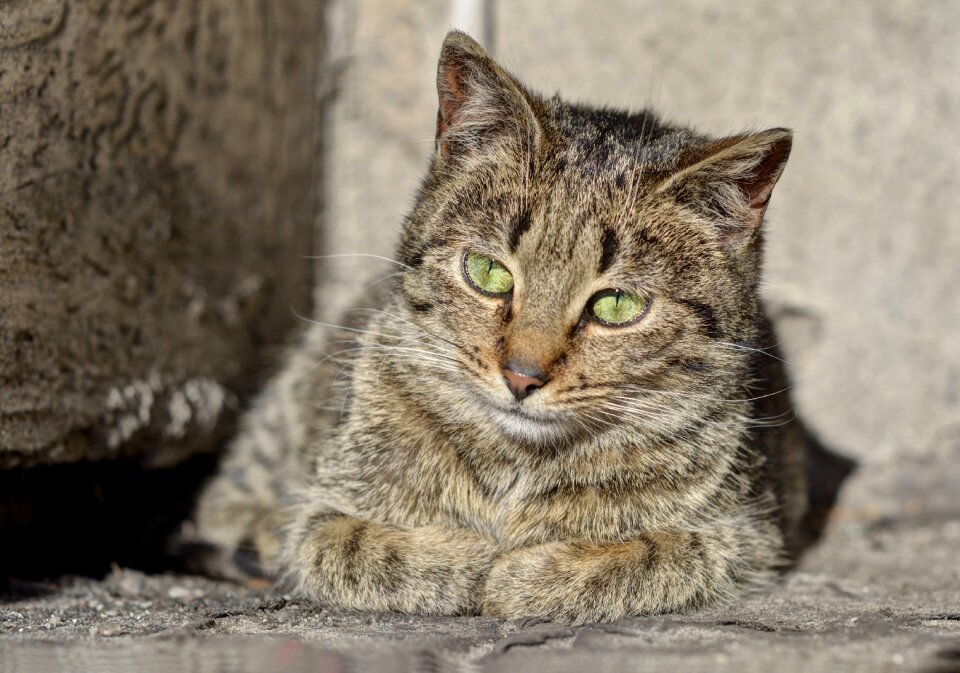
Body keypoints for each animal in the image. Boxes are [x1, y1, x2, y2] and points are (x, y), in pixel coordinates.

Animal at [193, 30, 808, 620]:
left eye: (616, 306)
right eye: (488, 273)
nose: (521, 376)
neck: (517, 470)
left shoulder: (746, 534)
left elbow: (655, 554)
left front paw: (529, 574)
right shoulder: (323, 509)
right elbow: (351, 544)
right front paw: (467, 559)